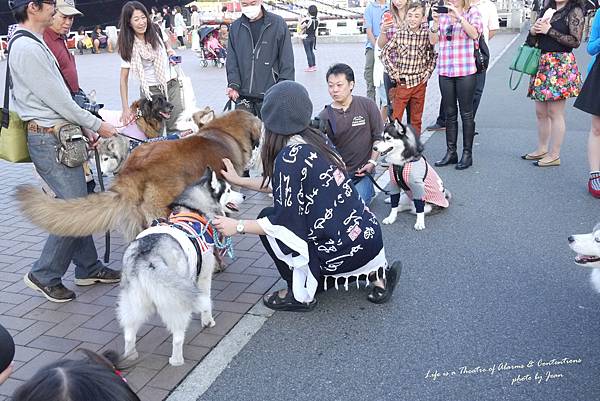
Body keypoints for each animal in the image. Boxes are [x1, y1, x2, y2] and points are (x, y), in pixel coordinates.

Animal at [117, 169, 244, 366]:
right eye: (229, 190)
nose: (244, 195)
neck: (194, 210)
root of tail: (147, 257)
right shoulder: (204, 275)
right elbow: (206, 299)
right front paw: (208, 321)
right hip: (176, 303)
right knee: (177, 336)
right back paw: (177, 360)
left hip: (133, 304)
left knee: (129, 334)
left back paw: (130, 357)